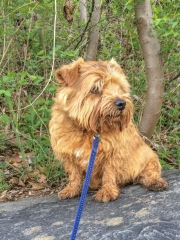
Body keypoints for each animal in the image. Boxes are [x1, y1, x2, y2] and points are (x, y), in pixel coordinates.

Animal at [48, 57, 168, 202]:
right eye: (95, 88)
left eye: (120, 87)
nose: (122, 103)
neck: (89, 130)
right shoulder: (68, 155)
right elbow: (74, 173)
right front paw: (71, 189)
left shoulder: (114, 153)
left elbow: (109, 173)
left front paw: (108, 191)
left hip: (149, 156)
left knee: (149, 173)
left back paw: (156, 182)